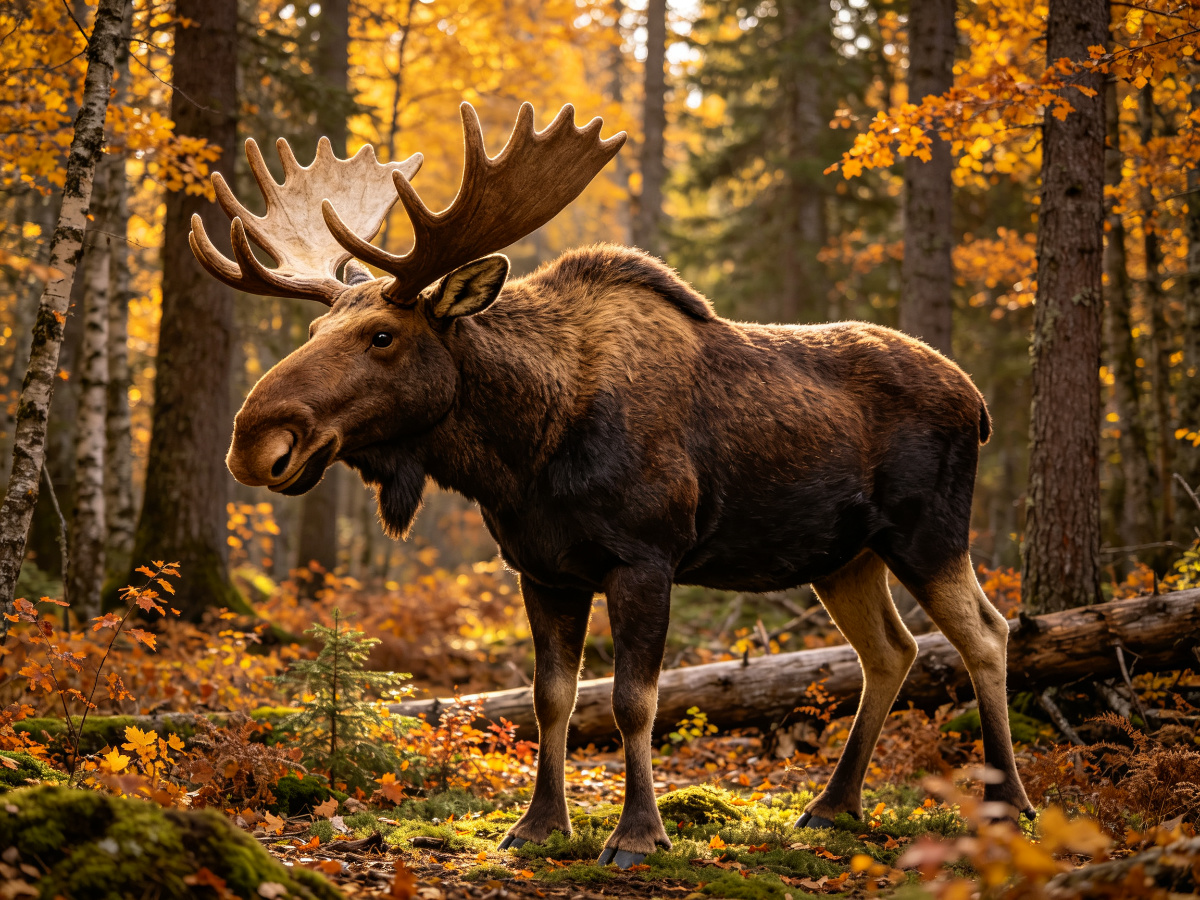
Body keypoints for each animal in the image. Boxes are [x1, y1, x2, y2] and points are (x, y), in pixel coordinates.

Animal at [190, 102, 1035, 868]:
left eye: (382, 336)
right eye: (312, 331)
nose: (253, 441)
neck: (523, 451)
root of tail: (982, 406)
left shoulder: (646, 558)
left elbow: (633, 700)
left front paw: (636, 836)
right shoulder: (543, 569)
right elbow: (552, 698)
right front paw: (537, 825)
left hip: (927, 531)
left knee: (985, 632)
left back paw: (1007, 802)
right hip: (843, 556)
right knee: (891, 650)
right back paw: (832, 806)